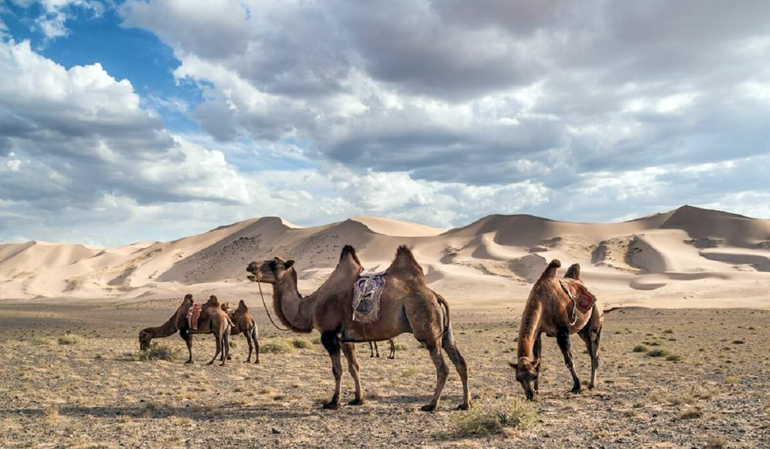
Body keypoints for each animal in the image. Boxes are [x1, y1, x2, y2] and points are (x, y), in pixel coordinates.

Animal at [249, 245, 472, 410]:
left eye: (273, 264)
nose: (251, 266)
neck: (309, 306)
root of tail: (435, 295)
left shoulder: (328, 335)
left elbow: (337, 370)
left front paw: (333, 402)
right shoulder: (346, 338)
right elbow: (354, 367)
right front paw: (358, 399)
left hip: (427, 329)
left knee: (442, 367)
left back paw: (432, 405)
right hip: (446, 333)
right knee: (460, 362)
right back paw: (465, 404)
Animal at [508, 260, 604, 400]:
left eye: (533, 376)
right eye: (518, 378)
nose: (530, 395)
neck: (542, 302)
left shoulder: (562, 331)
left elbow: (569, 360)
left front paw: (576, 386)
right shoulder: (538, 332)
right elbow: (538, 361)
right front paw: (537, 390)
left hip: (596, 318)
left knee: (595, 351)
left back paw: (592, 385)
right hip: (582, 331)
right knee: (591, 352)